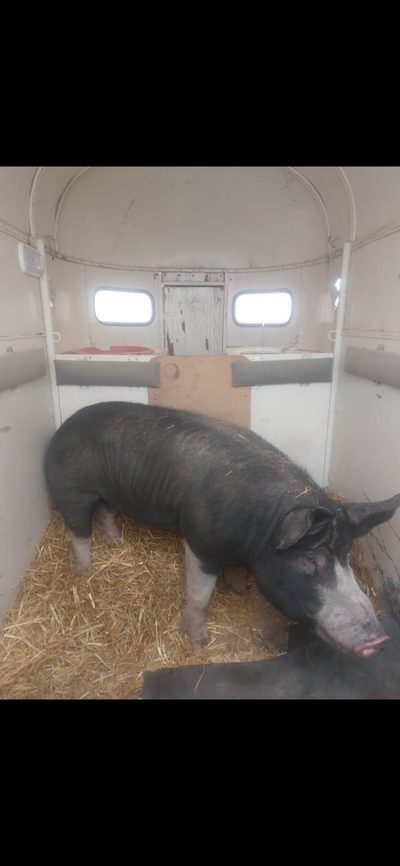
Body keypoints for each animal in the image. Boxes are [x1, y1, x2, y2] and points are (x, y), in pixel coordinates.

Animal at [45, 401, 400, 657]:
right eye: (310, 559)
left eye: (347, 556)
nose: (380, 639)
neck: (259, 529)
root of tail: (60, 430)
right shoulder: (200, 541)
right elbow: (200, 595)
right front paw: (199, 645)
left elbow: (232, 574)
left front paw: (239, 589)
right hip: (72, 490)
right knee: (79, 531)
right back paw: (84, 571)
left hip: (114, 492)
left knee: (106, 514)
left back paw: (117, 544)